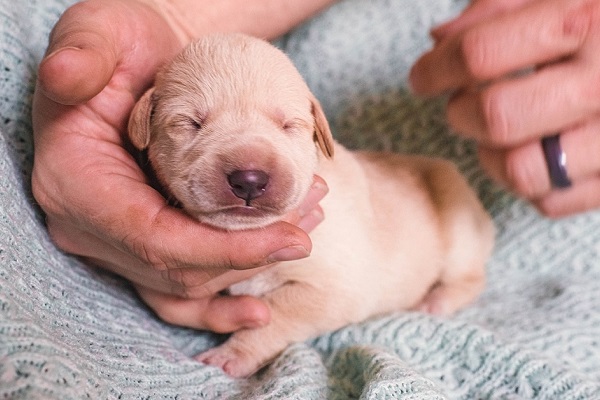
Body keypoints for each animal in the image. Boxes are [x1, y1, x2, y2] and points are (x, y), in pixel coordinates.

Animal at [126, 33, 492, 378]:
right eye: (190, 123)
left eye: (289, 125)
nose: (249, 179)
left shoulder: (334, 287)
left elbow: (277, 314)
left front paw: (232, 354)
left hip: (457, 219)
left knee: (470, 277)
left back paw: (435, 302)